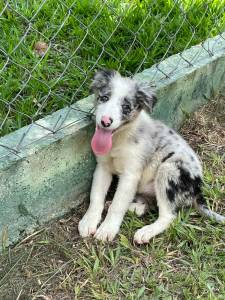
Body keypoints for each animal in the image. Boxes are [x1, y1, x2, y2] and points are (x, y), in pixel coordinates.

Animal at [78, 68, 224, 244]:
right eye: (104, 98)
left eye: (126, 107)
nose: (105, 121)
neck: (120, 138)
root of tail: (198, 190)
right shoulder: (103, 167)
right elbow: (96, 197)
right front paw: (89, 221)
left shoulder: (130, 175)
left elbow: (118, 205)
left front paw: (107, 229)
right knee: (148, 206)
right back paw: (132, 207)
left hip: (168, 170)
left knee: (168, 216)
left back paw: (146, 232)